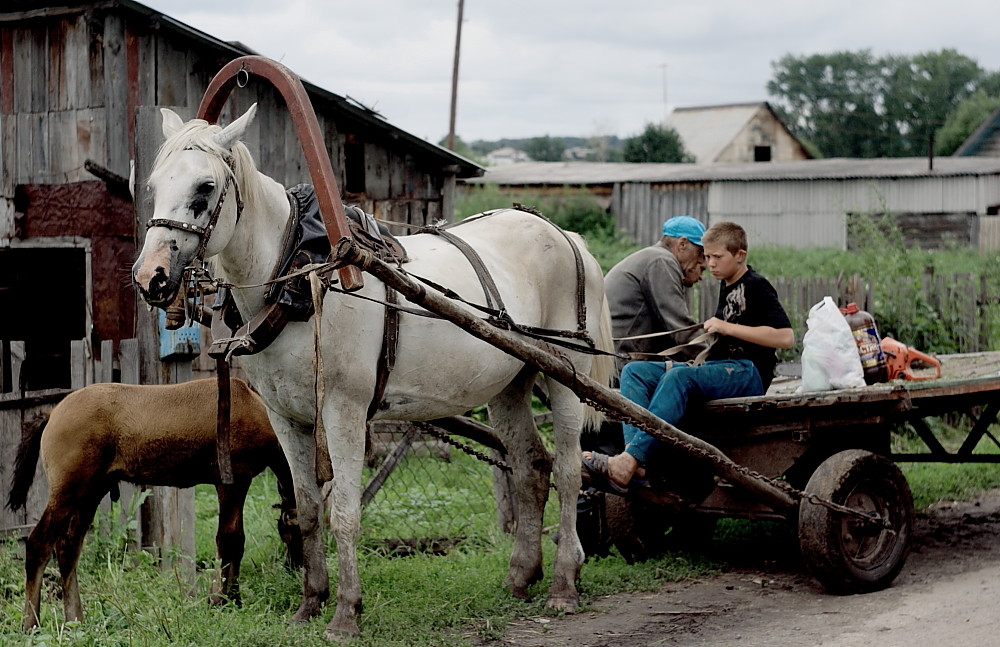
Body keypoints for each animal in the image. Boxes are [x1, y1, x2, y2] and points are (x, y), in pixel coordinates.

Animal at [131, 104, 616, 640]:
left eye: (204, 188)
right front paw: (310, 602)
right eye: (154, 184)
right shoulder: (286, 416)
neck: (297, 278)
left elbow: (343, 511)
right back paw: (520, 576)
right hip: (511, 382)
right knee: (532, 467)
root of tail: (566, 236)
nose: (150, 276)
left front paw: (346, 612)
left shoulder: (343, 410)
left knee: (569, 470)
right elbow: (306, 509)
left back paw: (564, 583)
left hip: (565, 375)